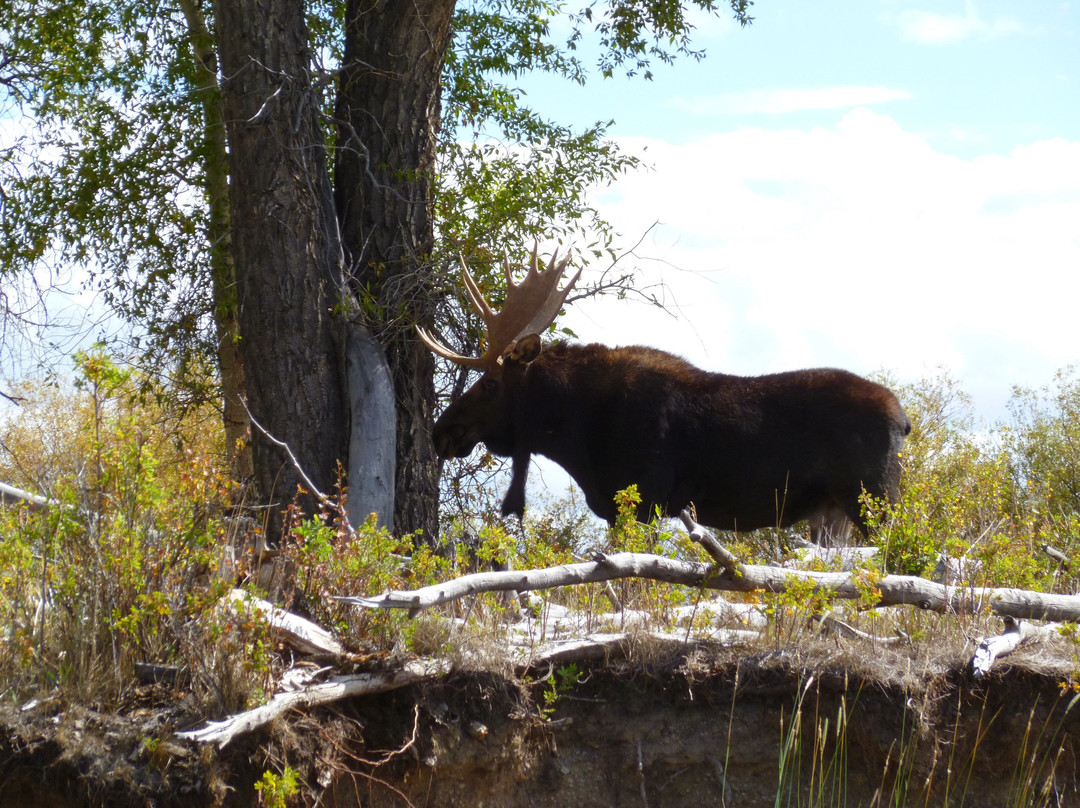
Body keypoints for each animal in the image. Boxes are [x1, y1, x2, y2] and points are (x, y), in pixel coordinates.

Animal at [416, 249, 907, 546]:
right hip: (834, 512)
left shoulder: (644, 500)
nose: (442, 431)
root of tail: (904, 420)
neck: (573, 435)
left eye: (490, 383)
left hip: (875, 499)